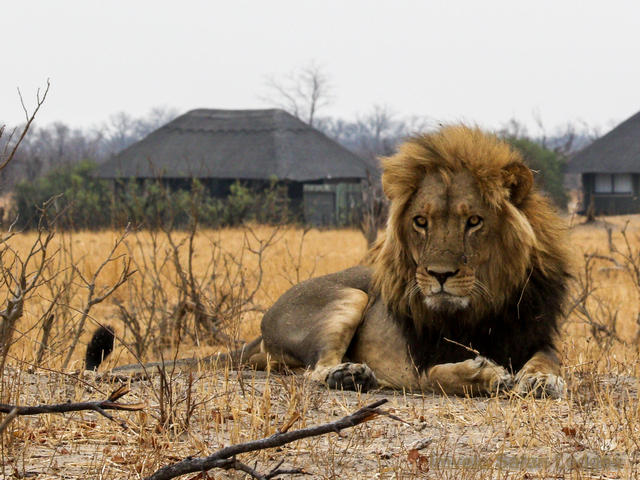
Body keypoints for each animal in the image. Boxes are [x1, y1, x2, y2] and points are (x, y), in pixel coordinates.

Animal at [87, 125, 570, 398]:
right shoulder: (410, 368)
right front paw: (481, 376)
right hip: (349, 297)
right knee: (313, 372)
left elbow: (546, 361)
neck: (478, 310)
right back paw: (349, 376)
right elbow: (437, 376)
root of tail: (259, 331)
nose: (439, 276)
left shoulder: (534, 336)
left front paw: (539, 380)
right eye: (421, 222)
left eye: (474, 221)